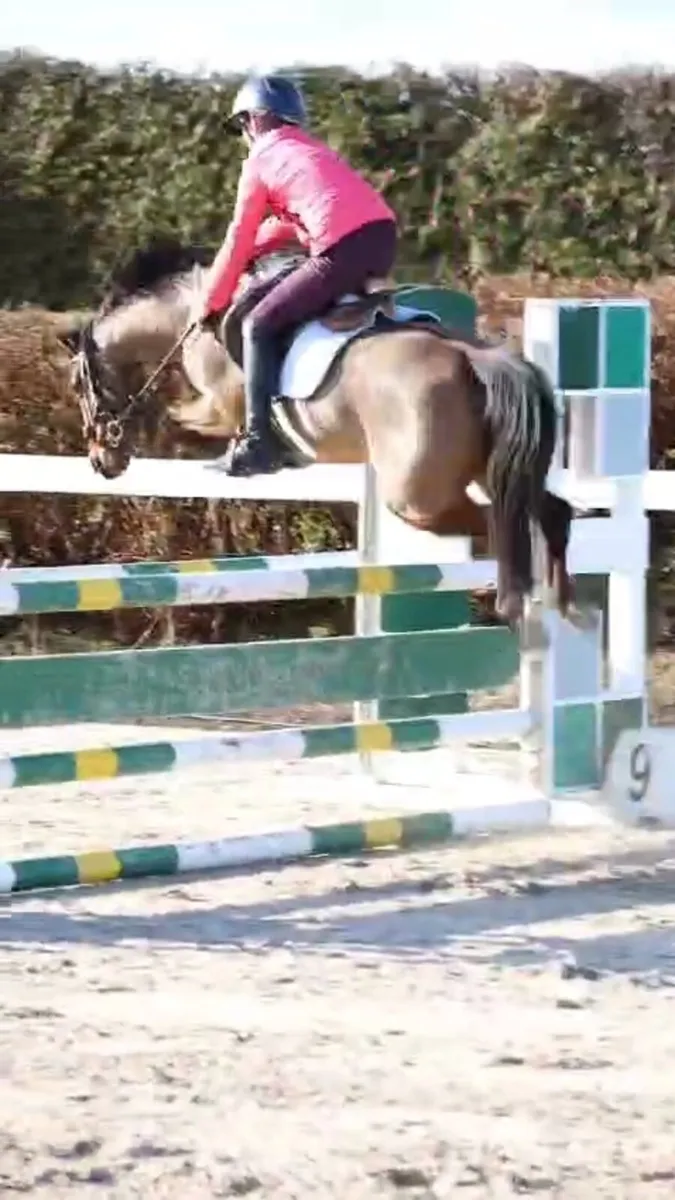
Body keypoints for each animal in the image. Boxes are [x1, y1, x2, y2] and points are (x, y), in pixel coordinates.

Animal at [57, 238, 581, 630]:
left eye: (77, 385)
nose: (102, 460)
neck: (189, 316)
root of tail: (474, 356)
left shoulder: (220, 406)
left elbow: (181, 418)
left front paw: (223, 454)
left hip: (417, 498)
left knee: (500, 521)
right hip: (487, 467)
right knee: (549, 510)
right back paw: (565, 601)